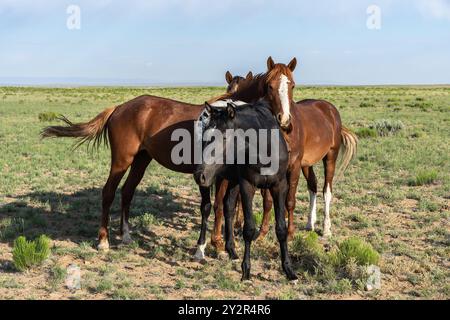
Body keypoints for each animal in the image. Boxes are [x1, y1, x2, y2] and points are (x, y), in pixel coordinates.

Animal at [194, 100, 298, 280]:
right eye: (207, 136)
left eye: (225, 137)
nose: (199, 175)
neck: (265, 149)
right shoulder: (247, 185)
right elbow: (248, 228)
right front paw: (246, 270)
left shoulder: (279, 186)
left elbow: (281, 228)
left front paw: (289, 270)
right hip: (215, 181)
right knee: (206, 207)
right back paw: (200, 250)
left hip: (230, 179)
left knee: (228, 207)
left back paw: (231, 250)